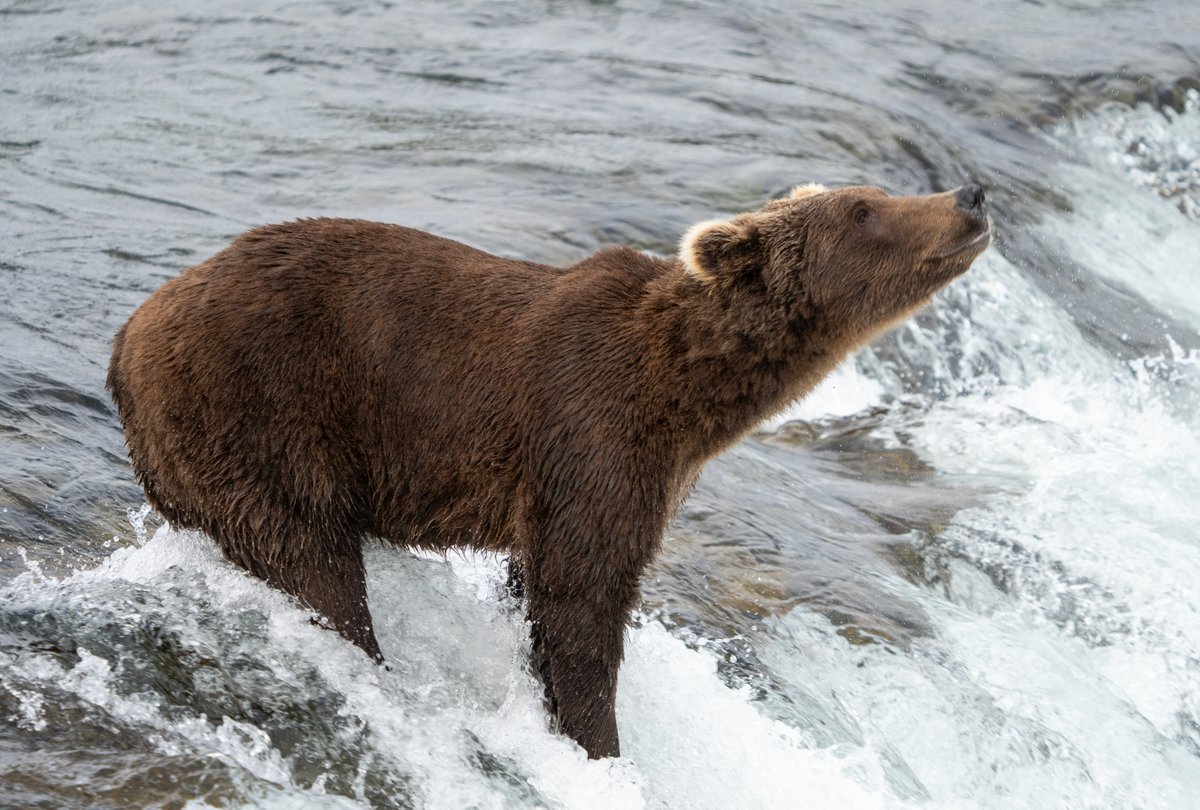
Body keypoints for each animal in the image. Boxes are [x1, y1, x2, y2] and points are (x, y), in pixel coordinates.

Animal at [105, 181, 984, 758]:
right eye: (863, 209)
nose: (969, 193)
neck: (688, 391)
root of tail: (126, 338)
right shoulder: (592, 434)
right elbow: (580, 602)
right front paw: (598, 743)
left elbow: (538, 588)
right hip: (257, 411)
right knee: (311, 563)